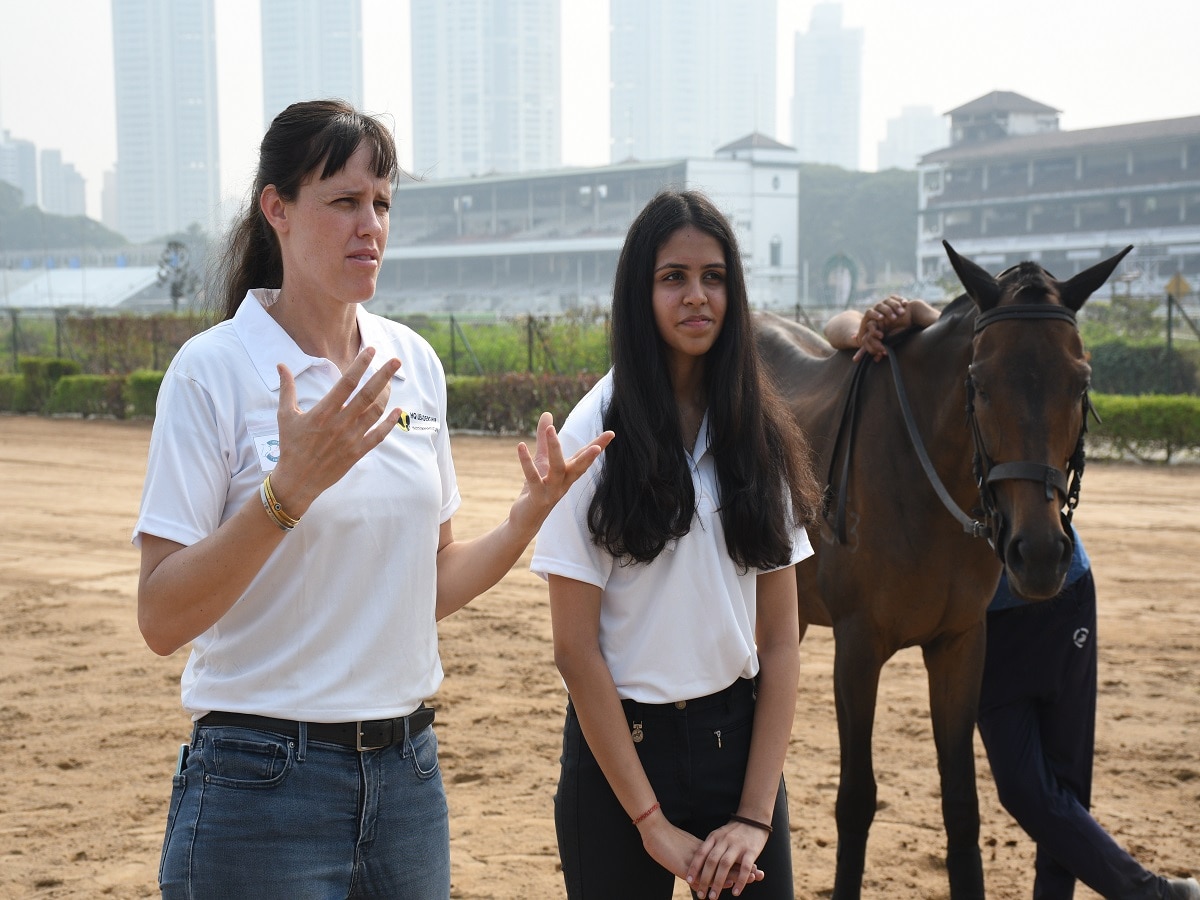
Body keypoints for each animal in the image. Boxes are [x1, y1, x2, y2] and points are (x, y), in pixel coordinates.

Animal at [758, 243, 1132, 897]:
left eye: (1081, 381)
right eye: (978, 382)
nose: (1039, 554)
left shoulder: (960, 643)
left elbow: (962, 802)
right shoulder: (858, 647)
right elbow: (856, 799)